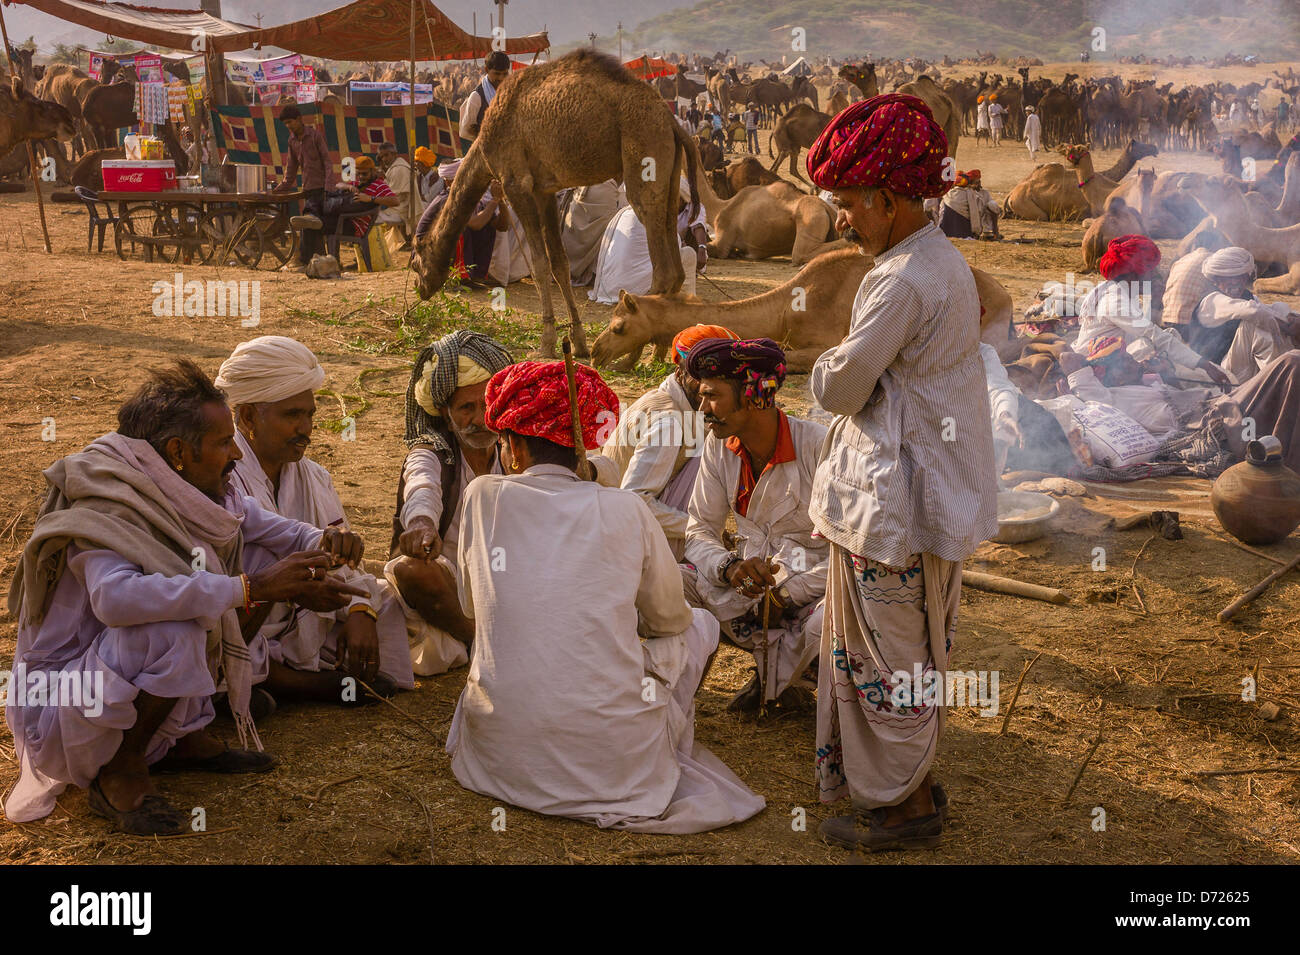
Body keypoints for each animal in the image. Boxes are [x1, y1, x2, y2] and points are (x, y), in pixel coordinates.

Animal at [416, 47, 702, 358]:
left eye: (417, 259)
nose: (421, 288)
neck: (484, 147)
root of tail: (672, 122)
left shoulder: (516, 183)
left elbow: (540, 265)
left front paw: (546, 343)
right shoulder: (545, 191)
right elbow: (560, 264)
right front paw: (578, 341)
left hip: (644, 152)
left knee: (661, 264)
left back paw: (637, 355)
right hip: (670, 172)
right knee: (674, 255)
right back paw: (659, 355)